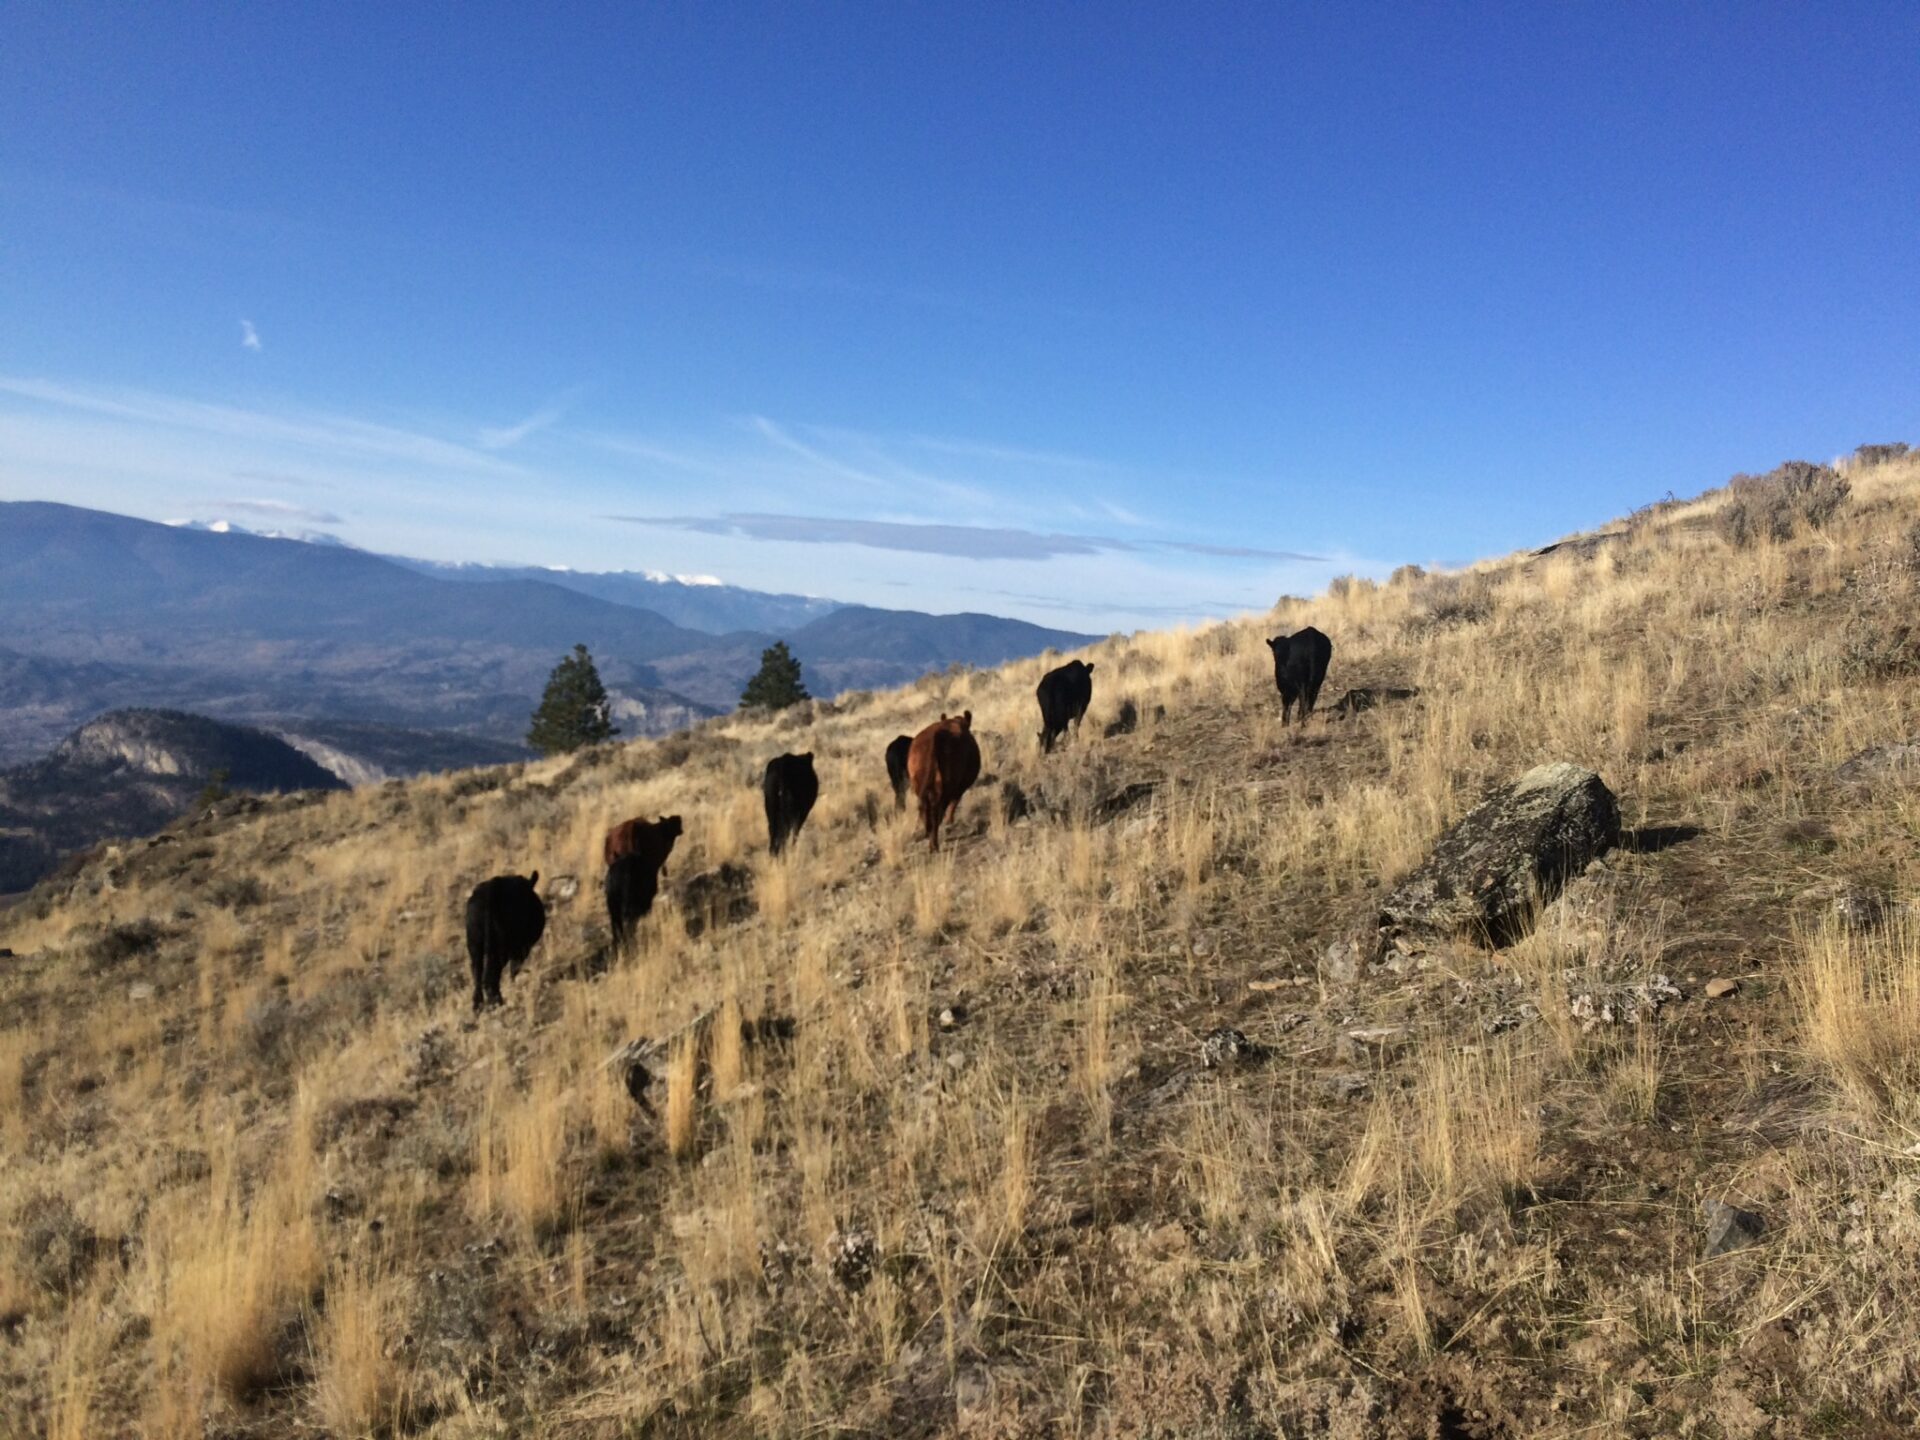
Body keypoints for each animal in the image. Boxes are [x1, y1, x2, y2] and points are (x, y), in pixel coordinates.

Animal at [465, 872, 546, 1011]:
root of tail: (492, 888)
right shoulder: (521, 948)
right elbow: (514, 968)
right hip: (502, 948)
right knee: (491, 975)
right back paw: (497, 1002)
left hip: (475, 946)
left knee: (477, 973)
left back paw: (478, 1006)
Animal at [906, 711, 982, 852]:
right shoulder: (959, 788)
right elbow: (954, 803)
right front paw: (949, 822)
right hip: (946, 787)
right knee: (936, 812)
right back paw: (934, 845)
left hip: (920, 786)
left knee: (924, 809)